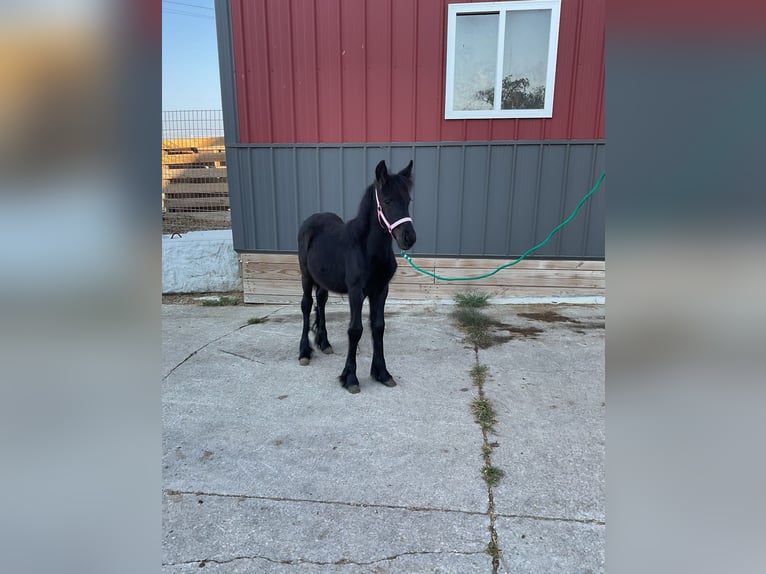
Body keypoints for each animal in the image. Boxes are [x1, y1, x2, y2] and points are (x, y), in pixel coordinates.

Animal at [297, 160, 416, 394]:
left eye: (408, 200)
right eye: (387, 200)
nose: (409, 238)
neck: (367, 249)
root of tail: (311, 220)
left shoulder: (380, 290)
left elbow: (378, 327)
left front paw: (382, 373)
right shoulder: (355, 291)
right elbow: (355, 330)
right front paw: (350, 377)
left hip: (324, 280)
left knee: (321, 301)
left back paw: (324, 343)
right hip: (306, 276)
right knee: (306, 305)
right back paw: (304, 352)